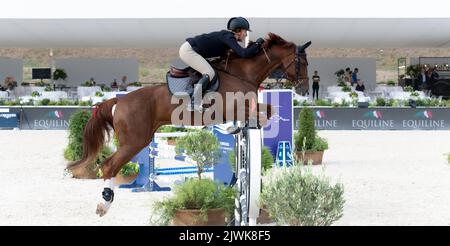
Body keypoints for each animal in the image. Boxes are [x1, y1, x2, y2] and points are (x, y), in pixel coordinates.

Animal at [67, 32, 312, 215]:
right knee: (108, 166)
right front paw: (240, 125)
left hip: (138, 139)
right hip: (135, 141)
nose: (304, 88)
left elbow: (268, 110)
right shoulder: (231, 107)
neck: (243, 73)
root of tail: (119, 100)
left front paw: (238, 126)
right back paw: (104, 204)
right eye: (303, 63)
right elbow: (259, 112)